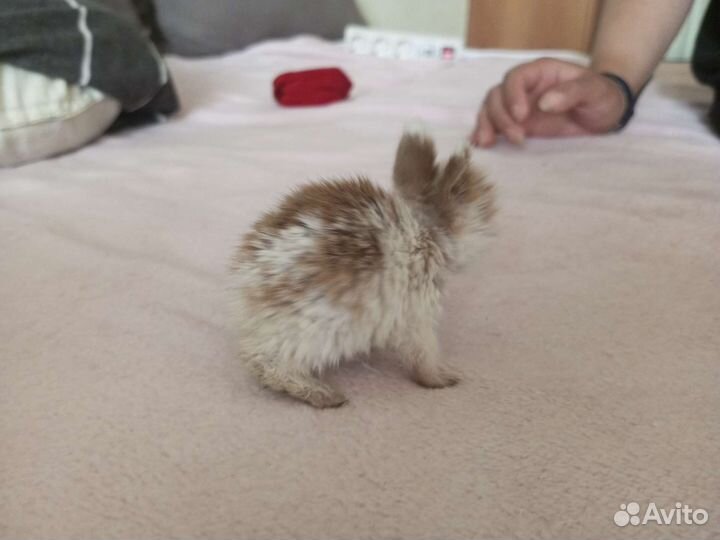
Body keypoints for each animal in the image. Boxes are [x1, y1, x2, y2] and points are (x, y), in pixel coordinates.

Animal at [229, 132, 496, 408]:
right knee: (266, 364)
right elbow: (424, 355)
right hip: (312, 334)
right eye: (483, 203)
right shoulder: (416, 317)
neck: (426, 231)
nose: (493, 217)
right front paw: (443, 379)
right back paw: (325, 395)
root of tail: (249, 291)